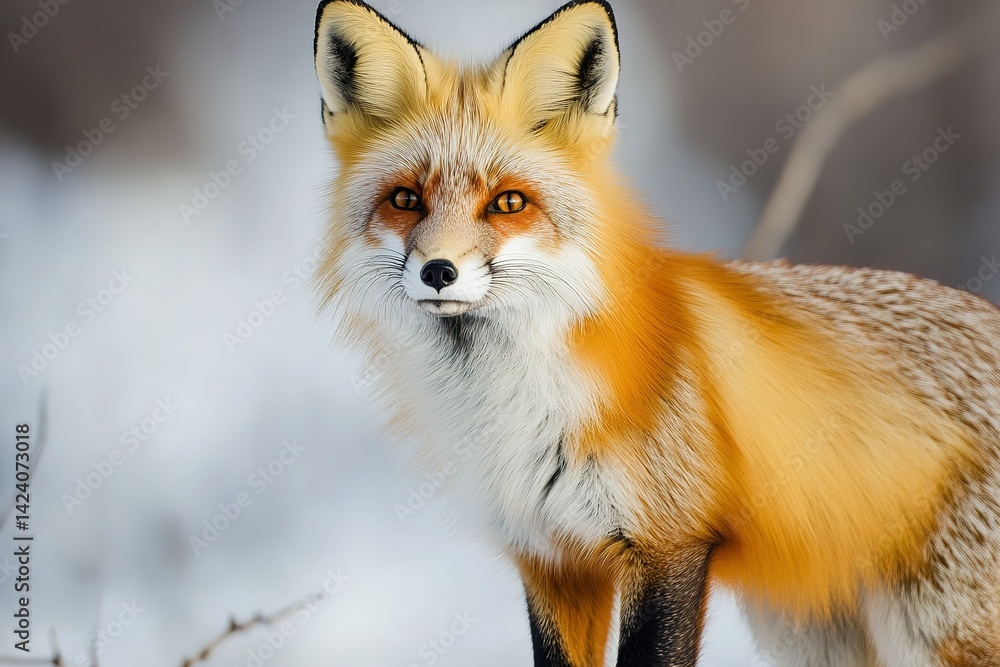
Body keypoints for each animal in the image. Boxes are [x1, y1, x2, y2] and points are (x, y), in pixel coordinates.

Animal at [311, 1, 1000, 665]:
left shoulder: (669, 544)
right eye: (406, 199)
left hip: (932, 632)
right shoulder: (554, 559)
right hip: (809, 634)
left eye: (508, 203)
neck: (515, 410)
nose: (438, 271)